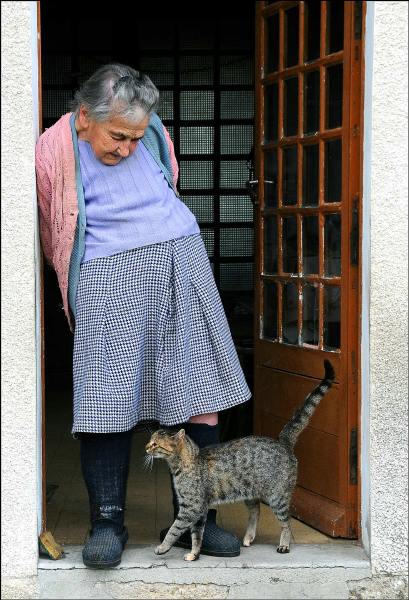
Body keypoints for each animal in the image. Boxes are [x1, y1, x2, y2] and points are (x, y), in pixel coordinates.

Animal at [145, 358, 334, 560]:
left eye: (155, 444)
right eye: (150, 441)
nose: (146, 447)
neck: (185, 464)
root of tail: (283, 441)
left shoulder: (191, 507)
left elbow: (175, 529)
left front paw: (162, 548)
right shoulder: (198, 509)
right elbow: (197, 535)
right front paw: (194, 554)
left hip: (278, 497)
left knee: (286, 521)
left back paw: (284, 544)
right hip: (250, 493)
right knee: (256, 510)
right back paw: (249, 537)